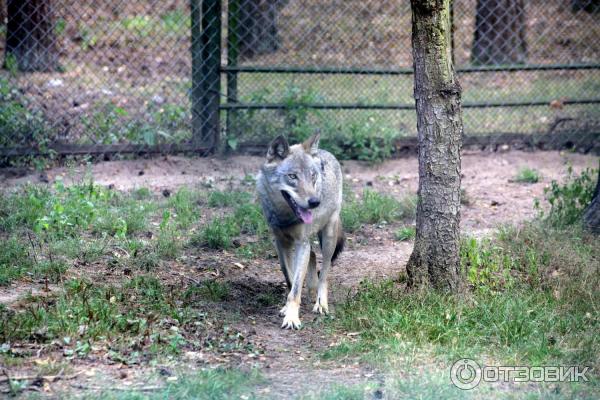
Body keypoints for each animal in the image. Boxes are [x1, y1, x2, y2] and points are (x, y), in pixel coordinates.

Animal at [255, 133, 344, 330]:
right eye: (292, 176)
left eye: (312, 176)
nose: (315, 202)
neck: (284, 215)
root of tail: (323, 152)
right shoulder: (281, 243)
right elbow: (290, 279)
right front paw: (286, 309)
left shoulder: (301, 242)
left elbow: (296, 288)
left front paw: (292, 318)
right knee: (312, 255)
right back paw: (311, 289)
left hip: (329, 237)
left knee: (324, 273)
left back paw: (321, 304)